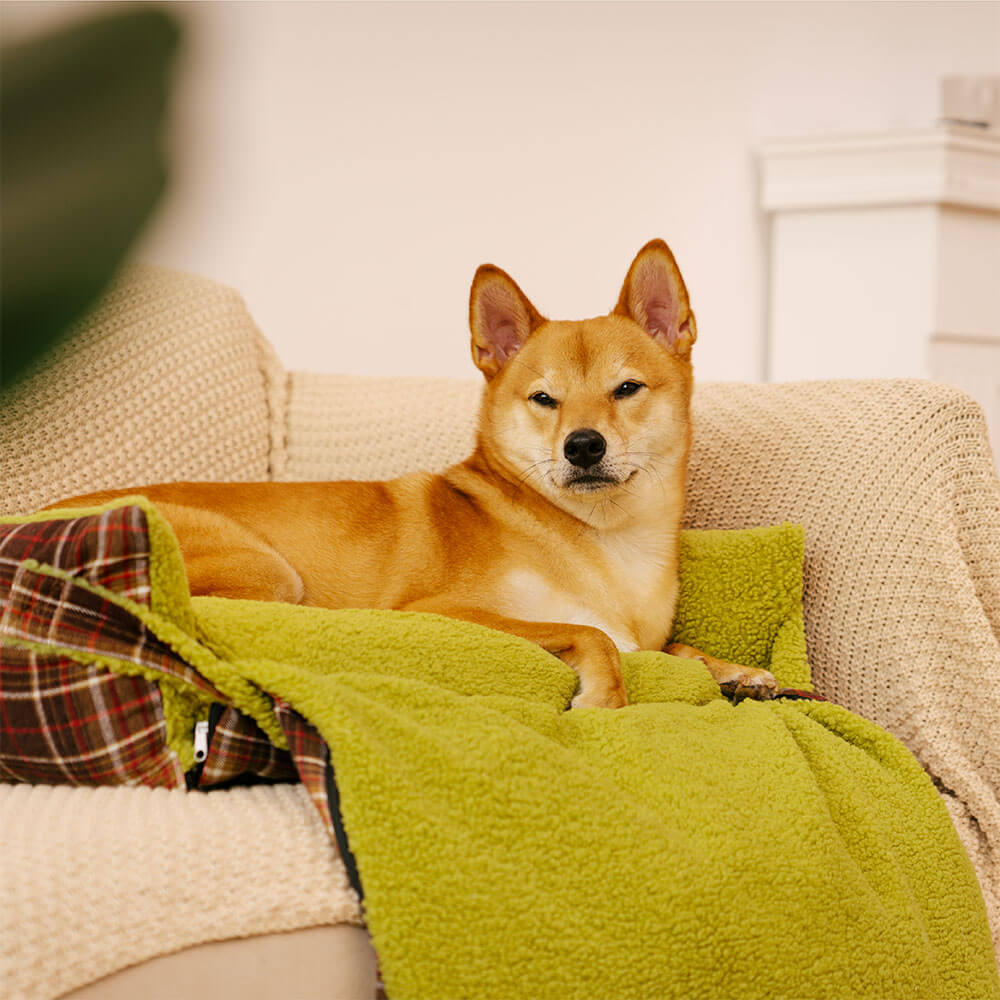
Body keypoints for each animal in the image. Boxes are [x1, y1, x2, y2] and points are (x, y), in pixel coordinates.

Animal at [50, 242, 776, 708]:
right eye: (544, 399)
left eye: (626, 389)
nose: (583, 446)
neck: (603, 539)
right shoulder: (441, 611)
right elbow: (593, 634)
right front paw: (604, 698)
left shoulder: (647, 633)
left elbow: (676, 648)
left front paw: (736, 671)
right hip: (266, 570)